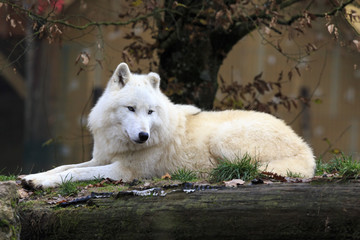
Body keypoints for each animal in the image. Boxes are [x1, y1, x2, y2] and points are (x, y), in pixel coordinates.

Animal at [21, 62, 316, 188]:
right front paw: (31, 176)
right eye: (131, 109)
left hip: (223, 139)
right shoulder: (101, 158)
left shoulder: (122, 170)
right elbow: (64, 167)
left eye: (150, 112)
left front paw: (40, 183)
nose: (143, 135)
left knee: (244, 169)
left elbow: (74, 173)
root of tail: (305, 148)